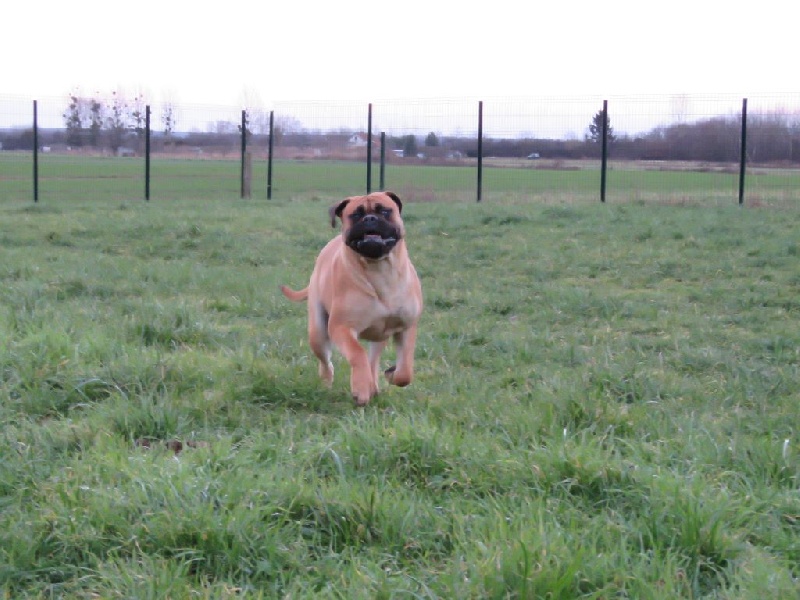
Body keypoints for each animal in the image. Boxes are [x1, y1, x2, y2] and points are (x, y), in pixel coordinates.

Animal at [282, 192, 422, 408]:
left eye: (384, 211)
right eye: (355, 215)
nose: (370, 218)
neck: (379, 270)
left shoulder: (406, 327)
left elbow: (405, 369)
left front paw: (391, 374)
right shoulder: (341, 327)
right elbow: (357, 353)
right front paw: (361, 390)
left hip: (379, 336)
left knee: (373, 360)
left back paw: (374, 384)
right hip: (318, 332)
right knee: (327, 362)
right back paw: (327, 383)